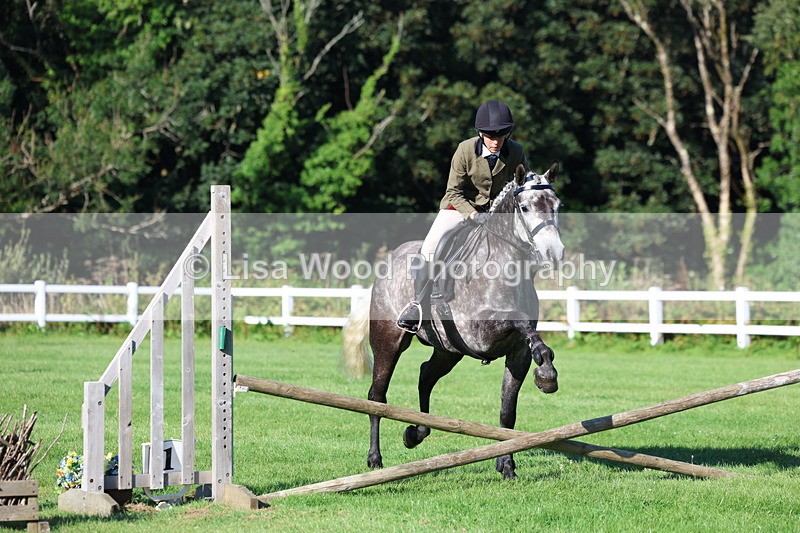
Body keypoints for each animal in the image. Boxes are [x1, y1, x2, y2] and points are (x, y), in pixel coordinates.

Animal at [341, 162, 564, 479]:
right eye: (524, 207)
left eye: (556, 205)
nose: (553, 253)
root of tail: (387, 263)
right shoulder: (481, 334)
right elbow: (519, 321)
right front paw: (546, 373)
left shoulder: (517, 354)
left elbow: (507, 411)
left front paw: (506, 466)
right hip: (388, 342)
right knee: (377, 396)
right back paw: (375, 459)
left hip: (449, 351)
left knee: (425, 375)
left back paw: (415, 433)